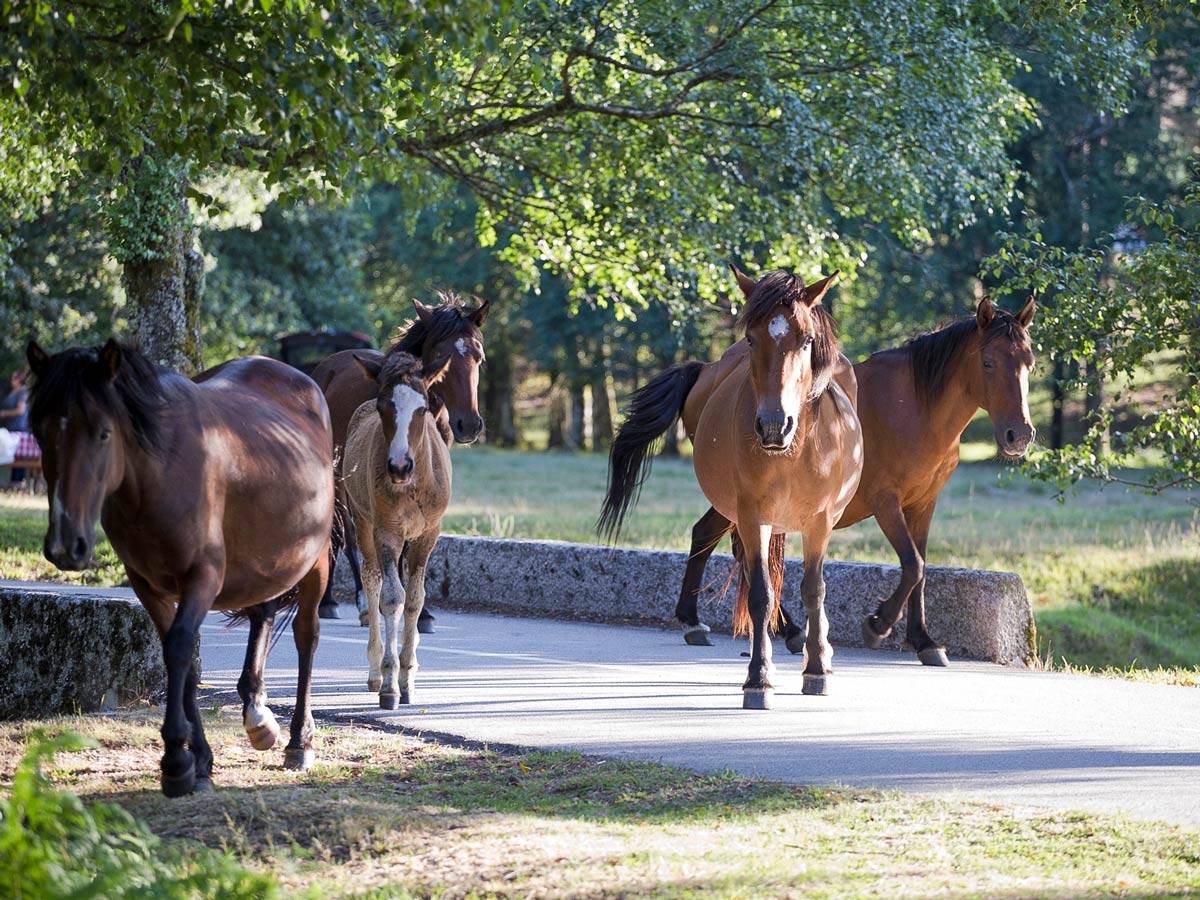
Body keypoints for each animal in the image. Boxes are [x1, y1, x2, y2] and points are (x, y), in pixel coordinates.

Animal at [25, 340, 336, 801]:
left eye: (103, 432)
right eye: (40, 433)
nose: (66, 546)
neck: (158, 474)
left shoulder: (202, 577)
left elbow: (179, 648)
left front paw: (175, 760)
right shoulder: (148, 585)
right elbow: (182, 661)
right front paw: (200, 762)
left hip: (315, 562)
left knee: (306, 635)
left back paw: (300, 741)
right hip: (265, 557)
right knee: (262, 613)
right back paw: (258, 715)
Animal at [314, 294, 492, 628]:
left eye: (479, 356)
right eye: (442, 353)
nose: (469, 425)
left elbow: (413, 548)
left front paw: (423, 613)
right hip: (338, 475)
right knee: (344, 533)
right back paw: (342, 601)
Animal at [340, 352, 451, 710]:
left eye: (423, 408)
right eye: (383, 406)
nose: (399, 466)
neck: (414, 485)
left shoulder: (428, 533)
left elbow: (415, 598)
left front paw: (408, 676)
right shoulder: (386, 531)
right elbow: (391, 597)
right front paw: (390, 682)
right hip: (362, 521)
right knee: (372, 579)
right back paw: (375, 670)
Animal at [600, 267, 864, 710]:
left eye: (806, 340)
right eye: (752, 338)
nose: (774, 425)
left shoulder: (820, 521)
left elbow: (814, 590)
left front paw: (816, 669)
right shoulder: (751, 512)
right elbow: (759, 593)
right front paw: (758, 678)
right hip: (734, 508)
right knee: (717, 541)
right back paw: (699, 622)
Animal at [672, 294, 1036, 662]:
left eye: (1030, 364)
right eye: (988, 363)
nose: (1019, 435)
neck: (916, 408)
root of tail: (707, 373)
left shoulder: (923, 504)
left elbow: (920, 569)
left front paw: (923, 640)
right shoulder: (886, 501)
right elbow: (913, 564)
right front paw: (879, 623)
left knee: (709, 536)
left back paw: (712, 622)